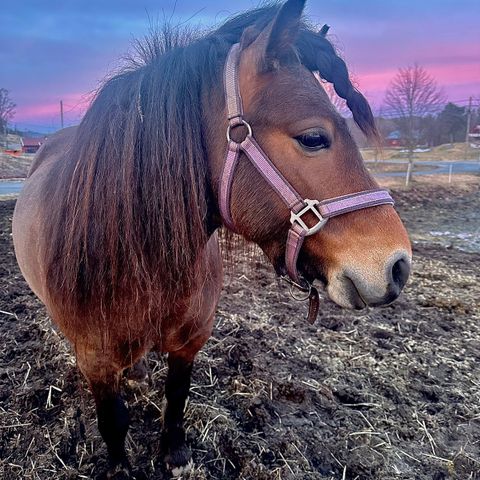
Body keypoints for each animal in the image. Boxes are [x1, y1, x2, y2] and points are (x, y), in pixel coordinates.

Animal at [12, 0, 408, 476]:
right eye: (313, 137)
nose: (397, 265)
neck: (143, 260)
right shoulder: (96, 359)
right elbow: (114, 422)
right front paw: (121, 466)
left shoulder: (190, 339)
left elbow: (177, 395)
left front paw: (174, 453)